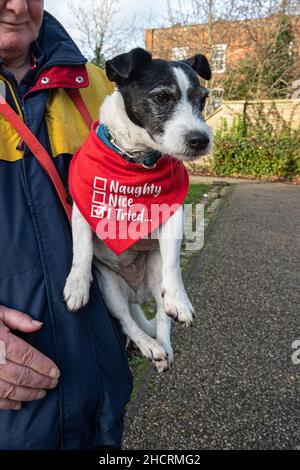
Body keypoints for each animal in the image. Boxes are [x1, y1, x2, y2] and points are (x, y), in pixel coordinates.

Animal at [64, 47, 212, 370]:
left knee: (162, 317)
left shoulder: (172, 214)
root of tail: (136, 294)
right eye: (162, 97)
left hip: (154, 278)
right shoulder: (84, 207)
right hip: (110, 290)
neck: (135, 158)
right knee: (126, 322)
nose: (202, 140)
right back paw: (148, 346)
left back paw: (162, 348)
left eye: (203, 99)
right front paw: (77, 285)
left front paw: (181, 300)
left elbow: (174, 265)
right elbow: (81, 251)